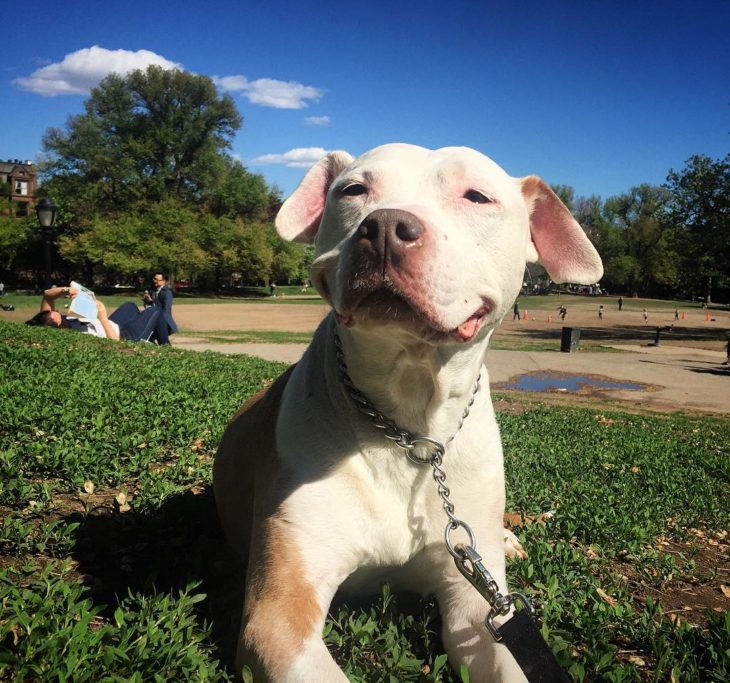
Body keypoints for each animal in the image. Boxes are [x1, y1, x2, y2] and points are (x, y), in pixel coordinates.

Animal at [213, 142, 600, 680]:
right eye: (353, 190)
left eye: (476, 196)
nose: (385, 226)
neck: (411, 424)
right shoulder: (276, 618)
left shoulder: (481, 611)